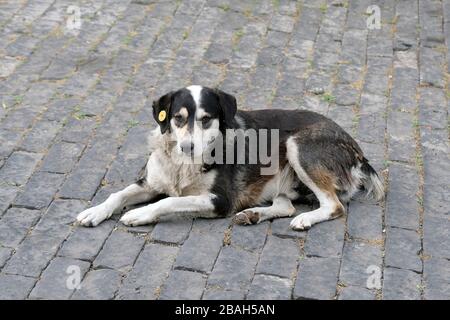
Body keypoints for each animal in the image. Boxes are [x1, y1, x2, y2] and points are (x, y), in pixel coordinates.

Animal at [76, 85, 384, 230]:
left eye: (206, 119)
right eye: (178, 118)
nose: (187, 147)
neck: (183, 167)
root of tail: (357, 149)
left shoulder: (220, 200)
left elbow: (170, 201)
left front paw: (140, 214)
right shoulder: (150, 183)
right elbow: (117, 194)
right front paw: (95, 211)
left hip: (299, 147)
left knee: (333, 206)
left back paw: (305, 219)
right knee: (285, 206)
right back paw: (252, 214)